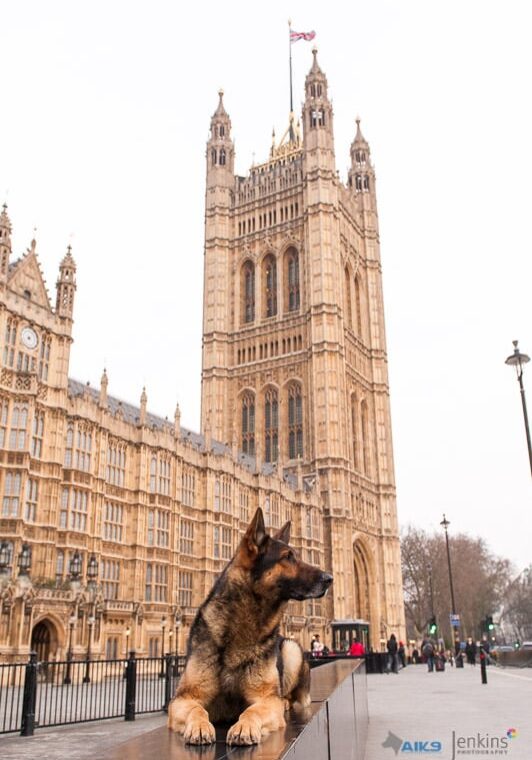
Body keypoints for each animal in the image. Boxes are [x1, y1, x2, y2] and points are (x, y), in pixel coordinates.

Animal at [166, 508, 332, 744]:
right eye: (287, 557)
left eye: (298, 556)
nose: (330, 578)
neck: (248, 622)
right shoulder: (184, 697)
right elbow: (197, 710)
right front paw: (199, 727)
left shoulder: (265, 698)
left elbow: (252, 711)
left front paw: (244, 727)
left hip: (290, 649)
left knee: (290, 697)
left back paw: (285, 702)